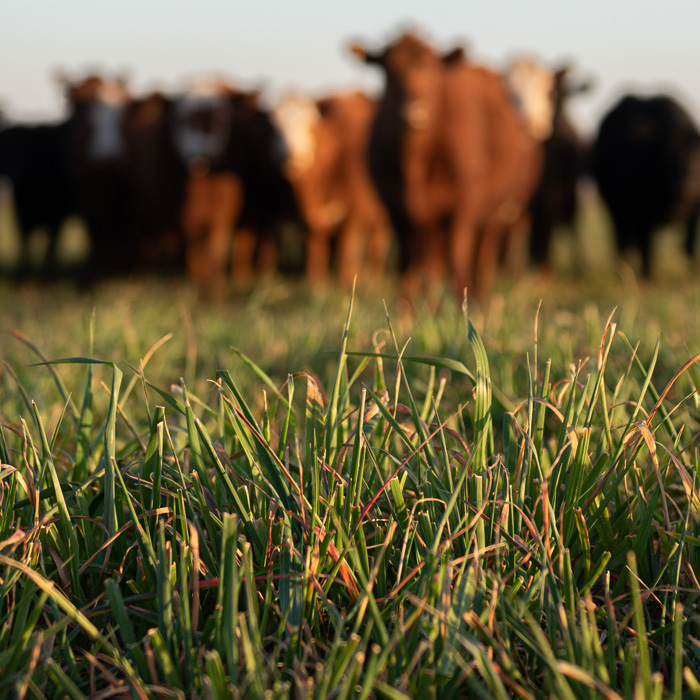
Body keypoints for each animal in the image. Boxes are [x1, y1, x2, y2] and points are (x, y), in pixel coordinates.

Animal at [272, 91, 392, 286]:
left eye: (310, 125)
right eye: (275, 125)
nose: (289, 155)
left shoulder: (355, 209)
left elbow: (348, 246)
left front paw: (346, 281)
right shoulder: (309, 216)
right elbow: (314, 245)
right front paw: (315, 283)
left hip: (381, 213)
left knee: (378, 241)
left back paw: (374, 278)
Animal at [350, 31, 542, 301]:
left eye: (432, 71)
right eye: (388, 73)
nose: (414, 113)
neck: (415, 163)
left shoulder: (463, 208)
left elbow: (458, 259)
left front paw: (462, 309)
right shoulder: (397, 209)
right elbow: (407, 266)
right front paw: (405, 311)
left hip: (491, 213)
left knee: (480, 257)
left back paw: (479, 300)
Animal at [592, 94, 700, 276]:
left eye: (697, 156)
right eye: (669, 155)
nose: (689, 187)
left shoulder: (694, 215)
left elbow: (689, 246)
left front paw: (692, 275)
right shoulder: (642, 210)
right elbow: (647, 246)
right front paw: (647, 276)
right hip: (616, 209)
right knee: (621, 239)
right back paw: (621, 269)